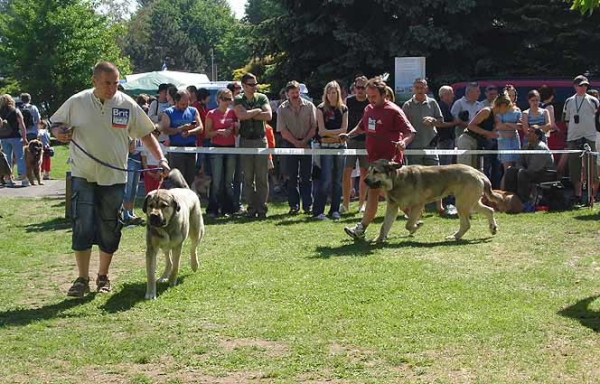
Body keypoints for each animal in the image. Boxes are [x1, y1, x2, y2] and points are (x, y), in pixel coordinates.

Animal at [142, 169, 205, 300]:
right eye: (150, 205)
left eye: (164, 205)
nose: (153, 216)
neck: (166, 227)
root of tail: (187, 189)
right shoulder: (151, 249)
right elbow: (150, 273)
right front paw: (150, 292)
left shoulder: (177, 246)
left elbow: (176, 264)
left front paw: (172, 280)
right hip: (164, 245)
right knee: (168, 259)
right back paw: (164, 276)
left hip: (197, 231)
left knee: (193, 248)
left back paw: (194, 265)